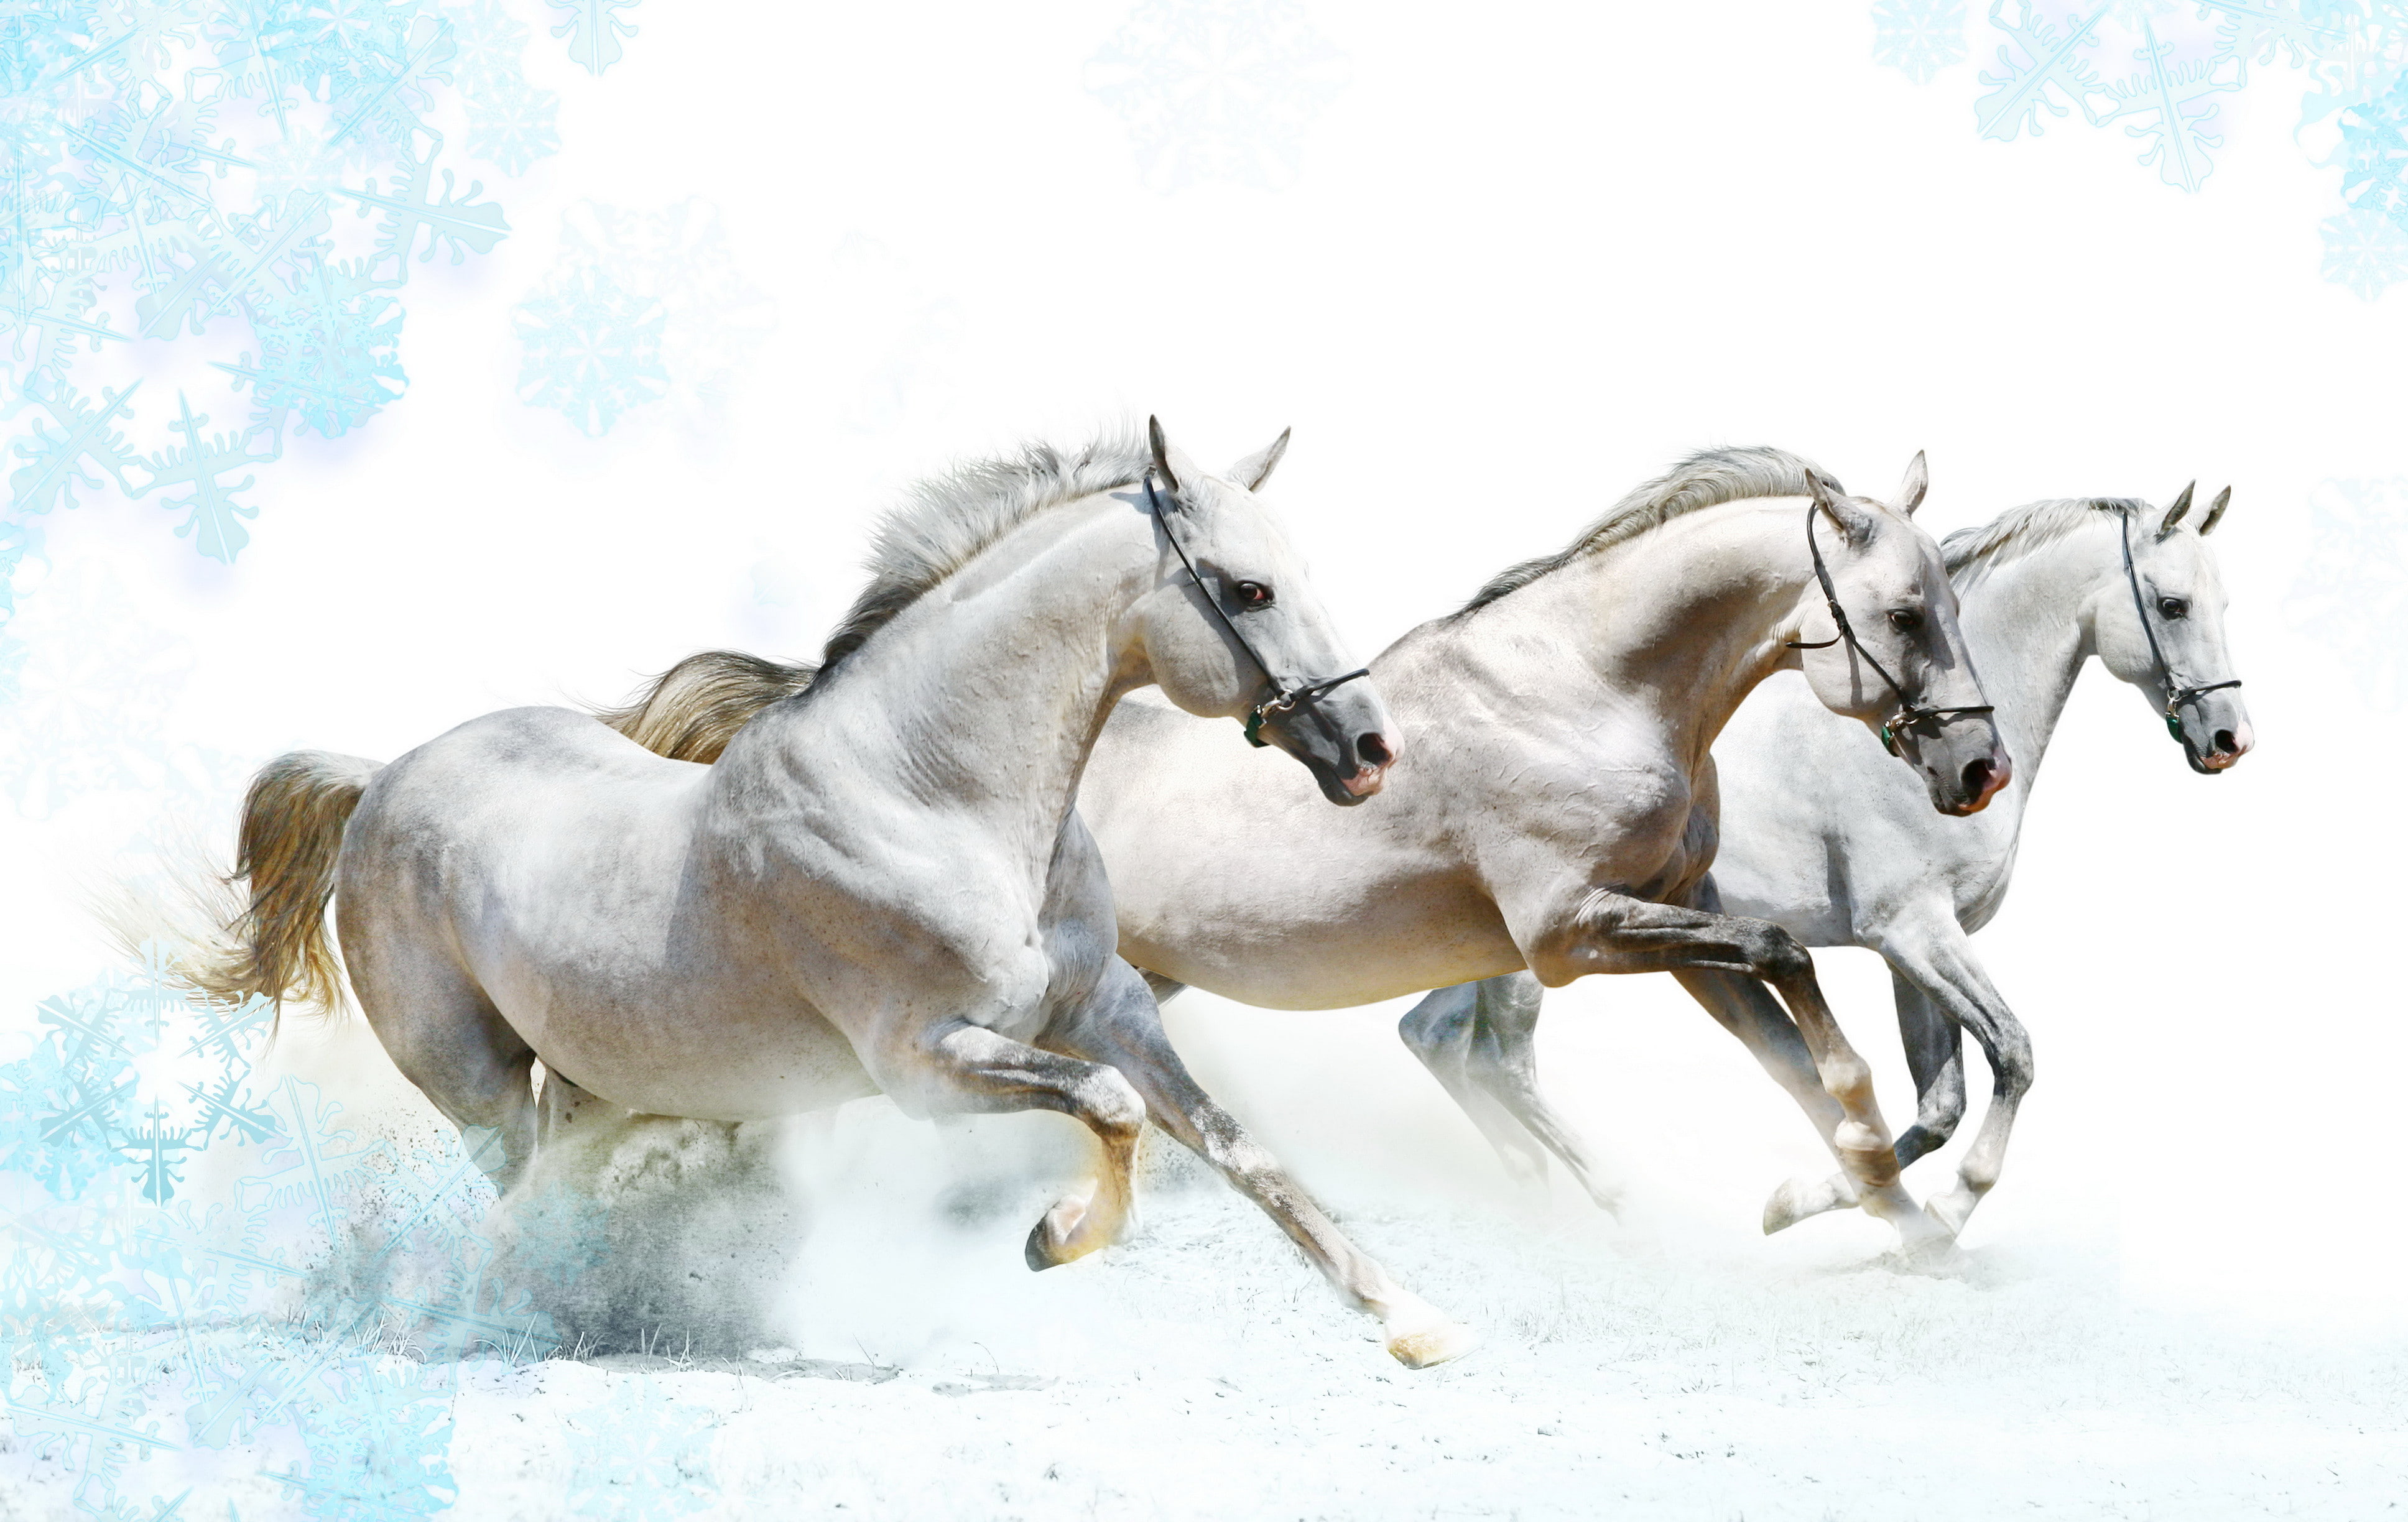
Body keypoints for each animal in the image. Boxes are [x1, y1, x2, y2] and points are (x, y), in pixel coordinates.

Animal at [197, 421, 1482, 1369]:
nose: (1370, 747)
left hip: (591, 1076)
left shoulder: (1108, 1006)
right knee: (523, 1192)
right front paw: (1054, 1239)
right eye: (1247, 589)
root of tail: (380, 777)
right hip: (474, 1084)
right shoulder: (924, 1061)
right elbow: (1113, 1109)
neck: (933, 792)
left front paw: (1415, 1322)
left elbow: (1232, 1145)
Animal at [1404, 485, 2252, 1238]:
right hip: (1544, 951)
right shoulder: (1911, 932)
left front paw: (1819, 1200)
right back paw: (1611, 1203)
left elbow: (1938, 1104)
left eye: (2222, 605)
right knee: (1498, 1061)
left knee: (1434, 1037)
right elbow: (2010, 1053)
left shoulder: (1914, 949)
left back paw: (1532, 1194)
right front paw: (1940, 1210)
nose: (2228, 740)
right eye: (2172, 605)